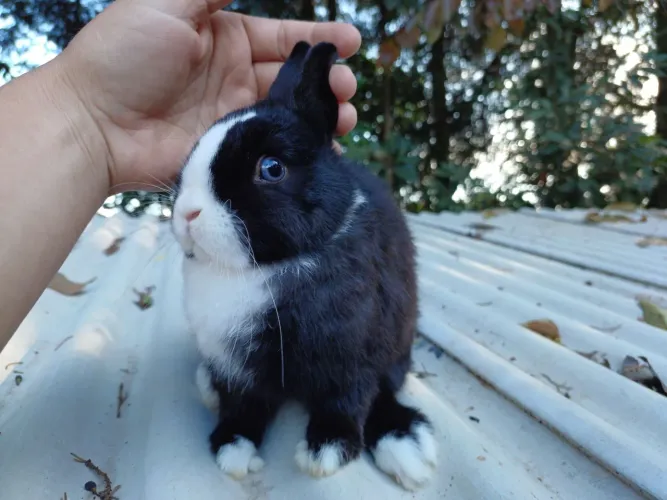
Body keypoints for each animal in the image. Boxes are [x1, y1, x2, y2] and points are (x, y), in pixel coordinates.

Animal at [171, 40, 437, 491]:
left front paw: (325, 452)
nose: (187, 213)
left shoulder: (352, 359)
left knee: (385, 391)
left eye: (271, 168)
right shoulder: (234, 366)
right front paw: (233, 449)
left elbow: (346, 402)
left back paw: (407, 445)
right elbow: (241, 405)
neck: (255, 270)